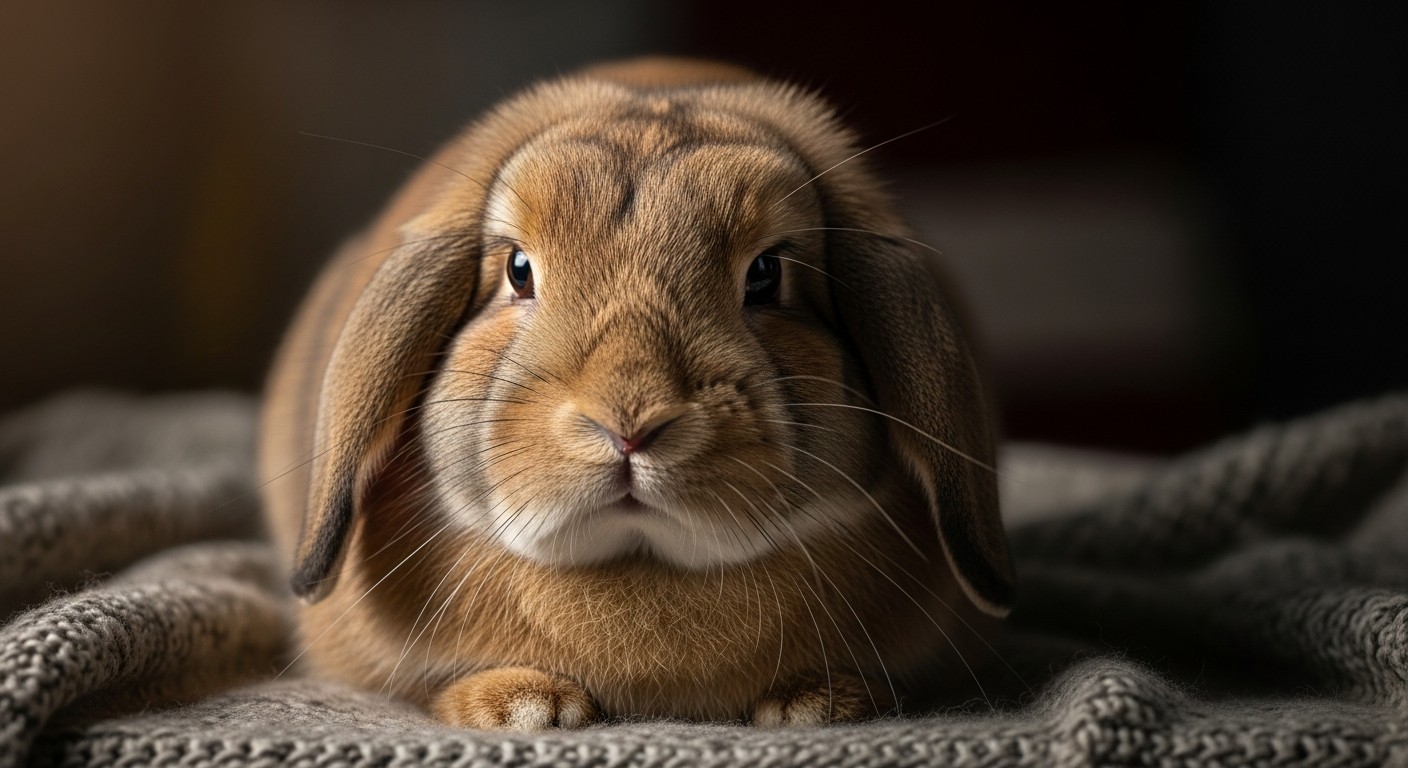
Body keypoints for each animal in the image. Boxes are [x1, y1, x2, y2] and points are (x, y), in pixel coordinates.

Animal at [259, 56, 1014, 730]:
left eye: (766, 273)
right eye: (518, 269)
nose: (628, 426)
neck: (639, 559)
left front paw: (822, 703)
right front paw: (523, 706)